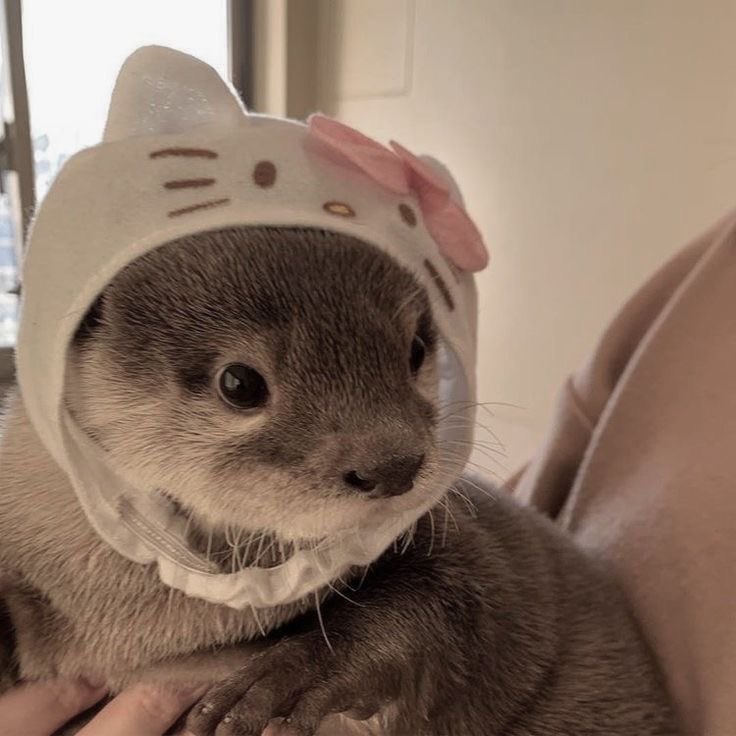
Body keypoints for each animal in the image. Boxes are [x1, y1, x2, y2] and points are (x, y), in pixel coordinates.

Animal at [0, 227, 676, 735]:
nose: (394, 465)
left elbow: (458, 601)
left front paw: (291, 675)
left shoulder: (472, 548)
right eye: (239, 382)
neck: (147, 624)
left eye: (415, 348)